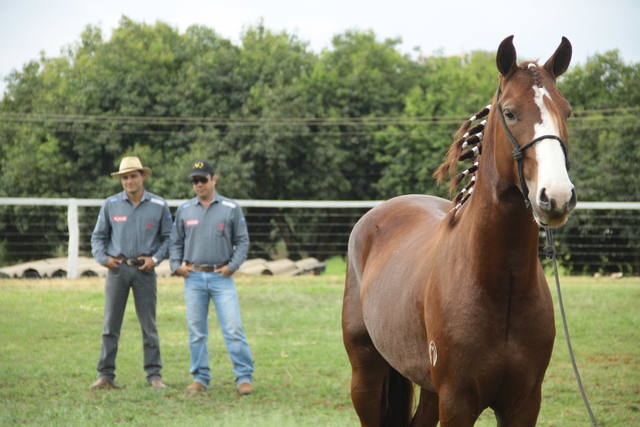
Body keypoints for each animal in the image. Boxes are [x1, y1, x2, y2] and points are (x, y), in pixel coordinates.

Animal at [342, 35, 576, 426]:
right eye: (510, 112)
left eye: (567, 111)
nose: (556, 196)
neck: (500, 286)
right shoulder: (458, 402)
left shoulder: (524, 403)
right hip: (366, 375)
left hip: (428, 390)